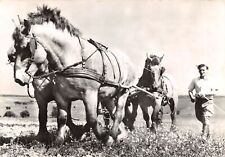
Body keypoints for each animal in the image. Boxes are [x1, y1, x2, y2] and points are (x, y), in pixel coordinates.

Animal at [11, 5, 137, 145]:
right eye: (15, 48)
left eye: (27, 48)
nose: (18, 78)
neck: (72, 58)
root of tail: (128, 59)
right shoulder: (60, 96)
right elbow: (62, 118)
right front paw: (58, 141)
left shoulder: (90, 94)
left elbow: (92, 119)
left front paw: (103, 137)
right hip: (106, 95)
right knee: (113, 112)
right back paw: (119, 136)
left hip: (124, 91)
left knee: (119, 113)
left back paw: (112, 136)